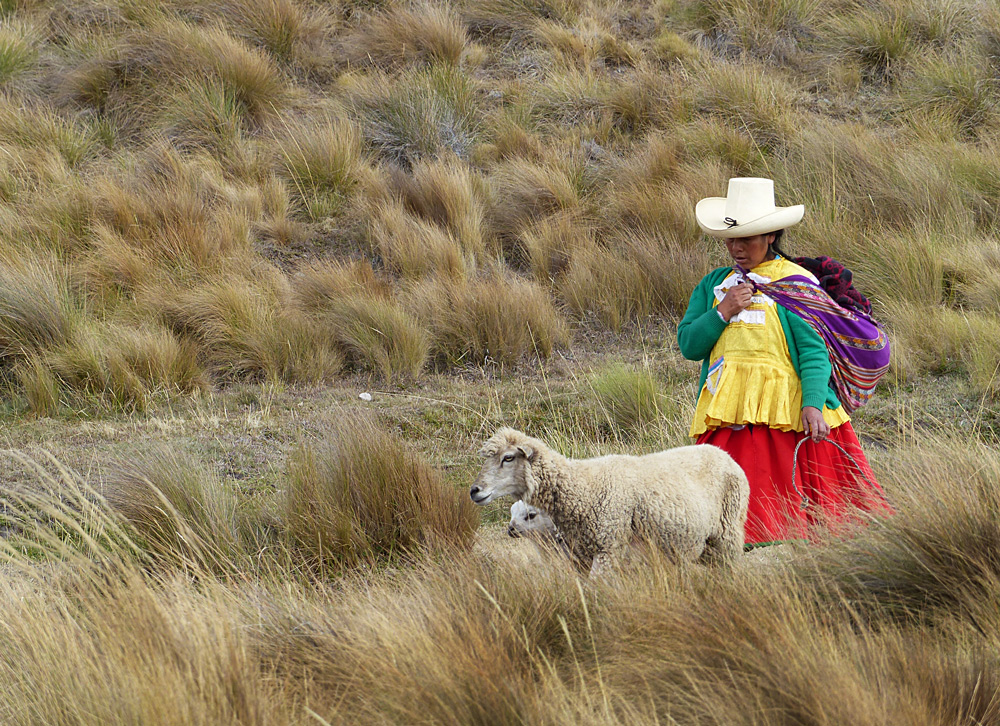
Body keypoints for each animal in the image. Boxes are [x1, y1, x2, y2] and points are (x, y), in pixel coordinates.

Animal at [472, 430, 748, 576]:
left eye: (508, 458)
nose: (475, 491)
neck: (585, 486)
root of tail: (723, 454)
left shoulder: (608, 549)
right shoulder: (583, 557)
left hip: (729, 532)